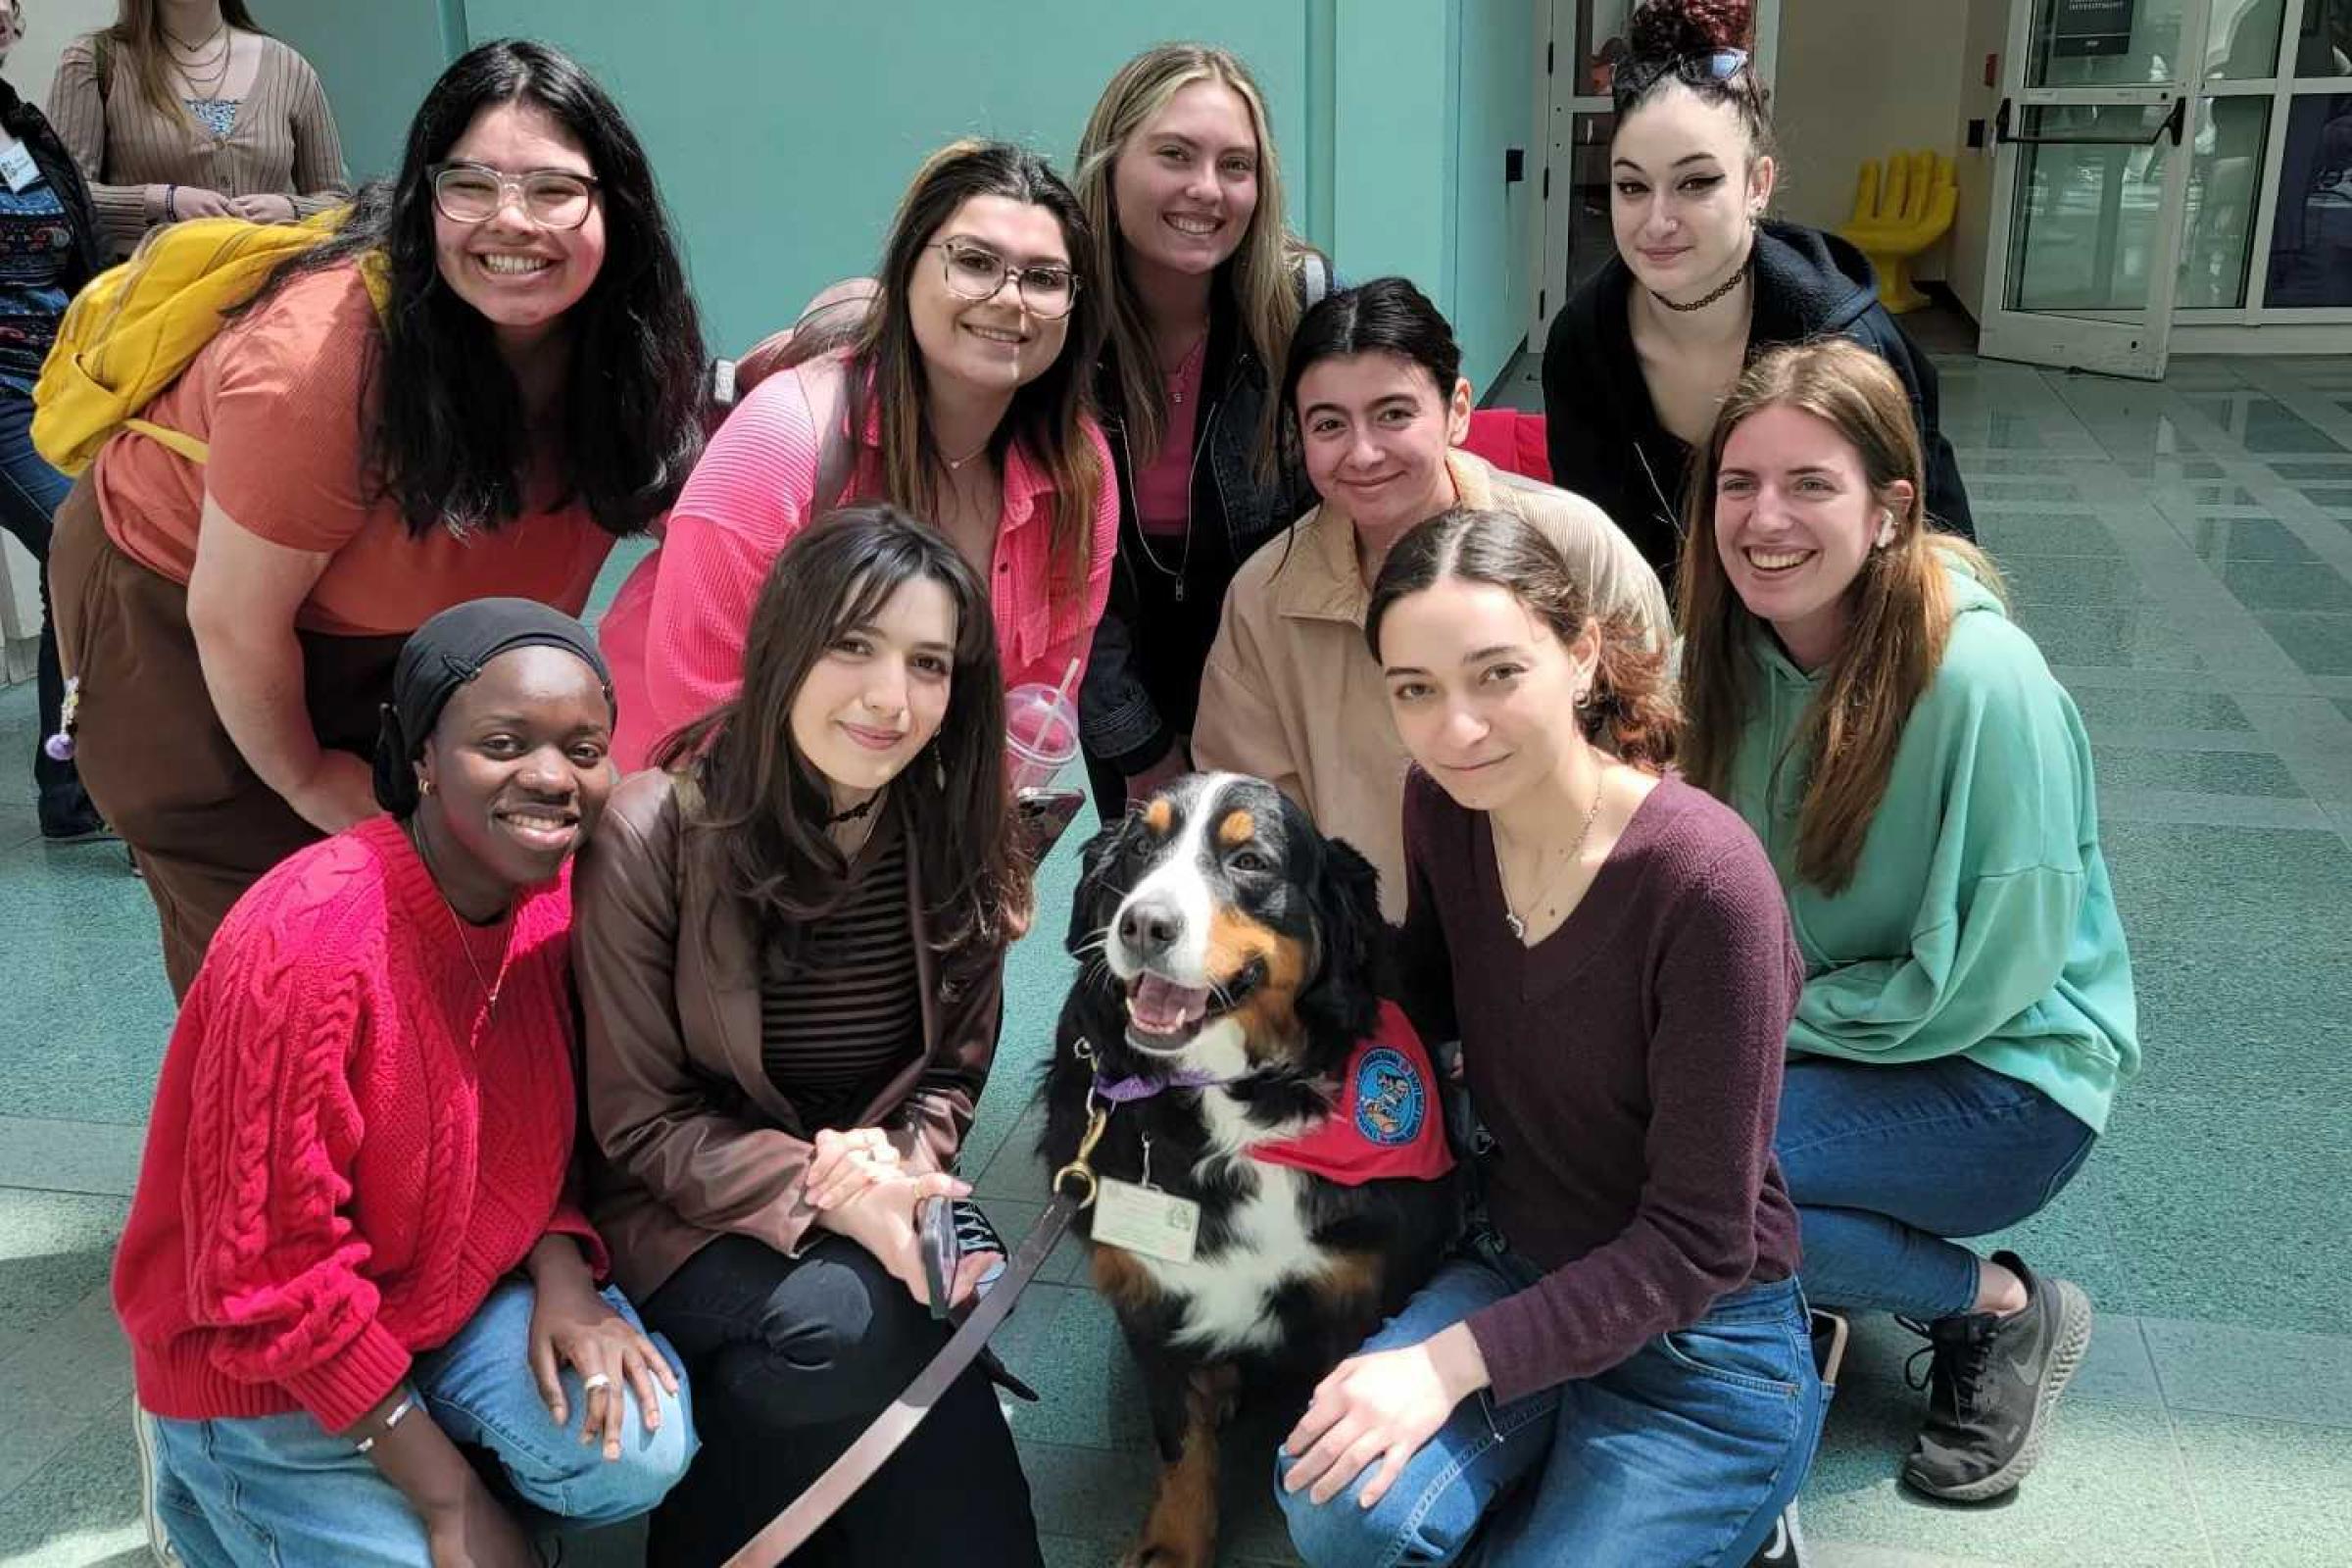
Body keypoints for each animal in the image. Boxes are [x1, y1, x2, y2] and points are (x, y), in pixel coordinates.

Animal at [1044, 770, 1448, 1568]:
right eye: (1140, 847)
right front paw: (1172, 1546)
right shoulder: (1147, 1298)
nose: (1143, 925)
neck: (1230, 1105)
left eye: (1250, 862)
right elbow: (1178, 1441)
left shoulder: (1355, 1294)